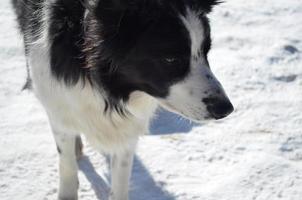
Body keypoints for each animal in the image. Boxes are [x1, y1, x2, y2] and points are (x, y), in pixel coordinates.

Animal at [11, 0, 234, 200]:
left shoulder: (128, 126)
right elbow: (66, 162)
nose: (226, 109)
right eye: (171, 59)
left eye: (206, 50)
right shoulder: (56, 99)